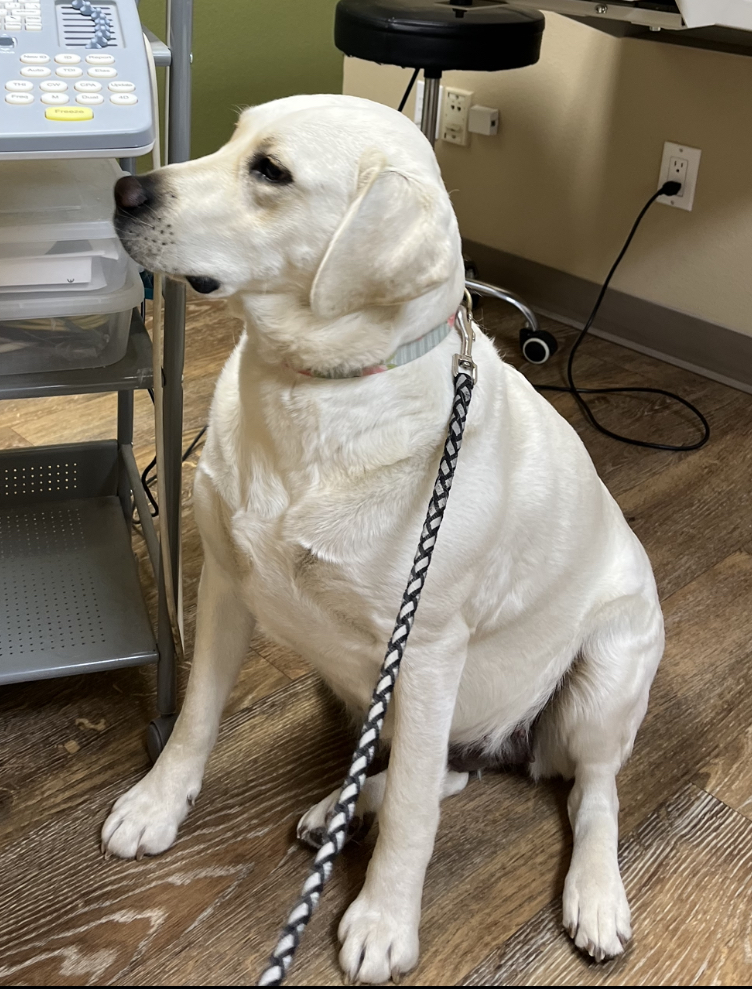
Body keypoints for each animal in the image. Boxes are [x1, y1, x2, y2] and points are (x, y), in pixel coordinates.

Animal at [101, 92, 664, 980]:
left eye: (271, 171)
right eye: (232, 137)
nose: (124, 192)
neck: (314, 393)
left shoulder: (428, 651)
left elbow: (412, 816)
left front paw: (385, 917)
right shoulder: (225, 580)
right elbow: (195, 717)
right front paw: (158, 803)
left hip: (602, 677)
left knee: (588, 791)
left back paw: (596, 896)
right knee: (439, 776)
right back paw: (338, 806)